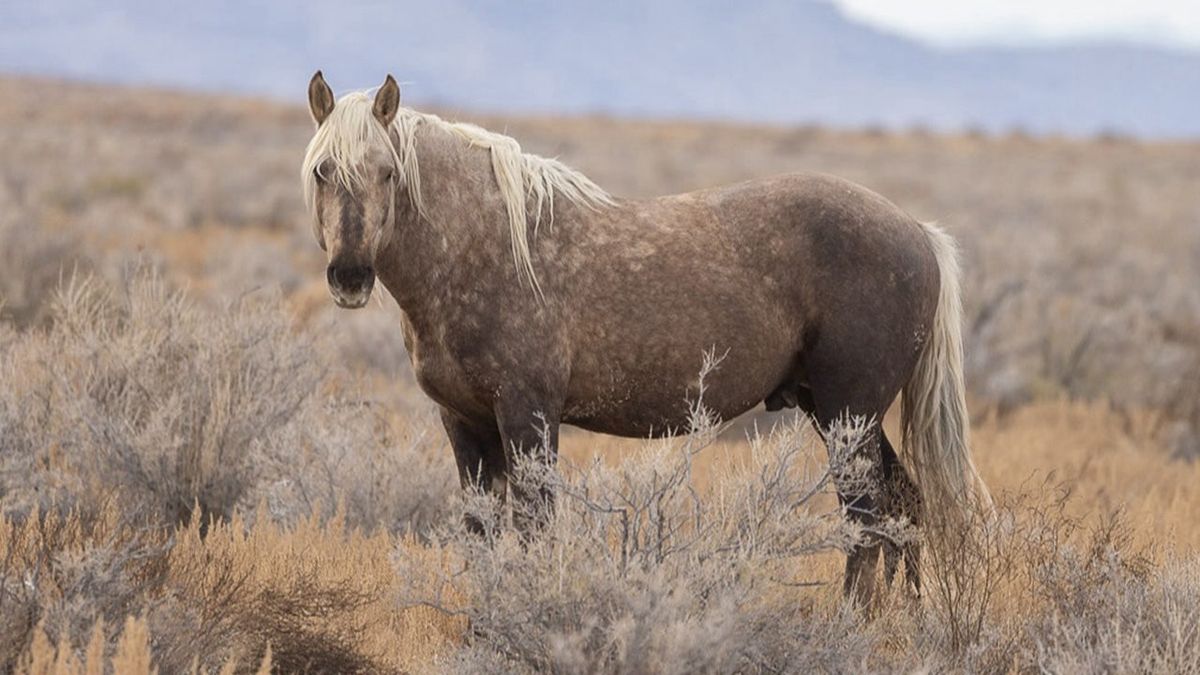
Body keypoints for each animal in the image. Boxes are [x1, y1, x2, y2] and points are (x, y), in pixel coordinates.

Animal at [302, 70, 993, 600]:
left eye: (388, 173)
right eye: (322, 171)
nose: (350, 276)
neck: (486, 246)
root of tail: (918, 232)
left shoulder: (528, 416)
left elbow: (534, 529)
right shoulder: (464, 422)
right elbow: (484, 535)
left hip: (851, 413)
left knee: (867, 520)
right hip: (838, 412)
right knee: (903, 509)